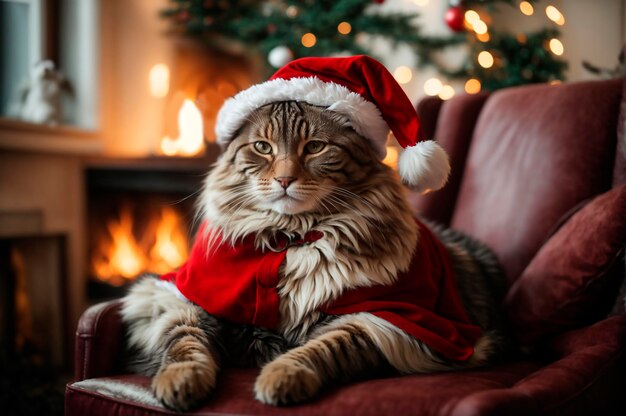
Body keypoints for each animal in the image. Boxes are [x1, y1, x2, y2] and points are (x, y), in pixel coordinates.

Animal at [118, 100, 508, 410]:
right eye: (262, 147)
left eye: (316, 147)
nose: (284, 180)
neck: (291, 238)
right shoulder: (188, 299)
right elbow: (185, 345)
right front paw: (179, 382)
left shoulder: (388, 318)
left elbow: (320, 350)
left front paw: (279, 377)